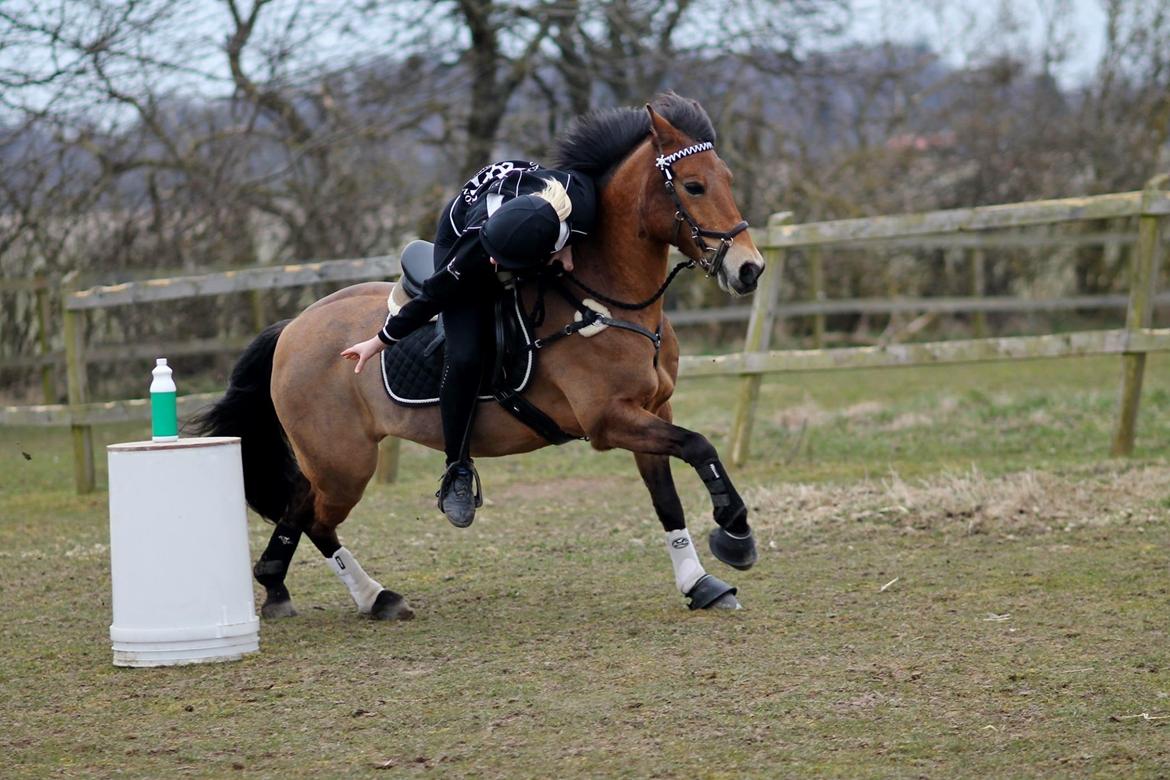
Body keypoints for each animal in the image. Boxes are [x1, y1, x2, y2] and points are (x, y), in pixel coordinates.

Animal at [194, 94, 767, 622]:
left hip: (334, 462)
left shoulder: (651, 410)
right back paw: (374, 595)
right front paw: (735, 531)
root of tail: (291, 328)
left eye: (726, 178)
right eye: (693, 186)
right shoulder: (610, 420)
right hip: (343, 462)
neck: (605, 299)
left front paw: (699, 582)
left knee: (300, 507)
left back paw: (279, 586)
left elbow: (667, 495)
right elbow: (699, 445)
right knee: (315, 518)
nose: (750, 269)